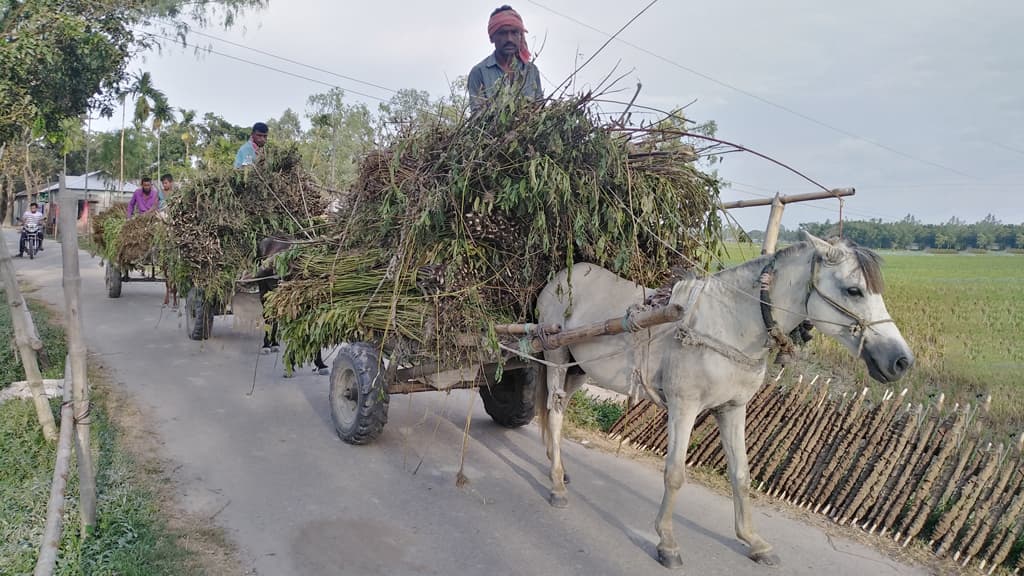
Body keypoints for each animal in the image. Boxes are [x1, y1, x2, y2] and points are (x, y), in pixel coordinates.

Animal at [536, 230, 913, 565]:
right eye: (854, 290)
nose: (901, 360)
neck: (728, 326)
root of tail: (560, 277)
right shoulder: (684, 406)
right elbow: (675, 473)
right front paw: (667, 542)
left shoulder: (732, 409)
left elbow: (741, 475)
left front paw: (754, 541)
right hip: (554, 355)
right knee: (554, 413)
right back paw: (557, 486)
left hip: (578, 369)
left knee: (559, 411)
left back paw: (558, 469)